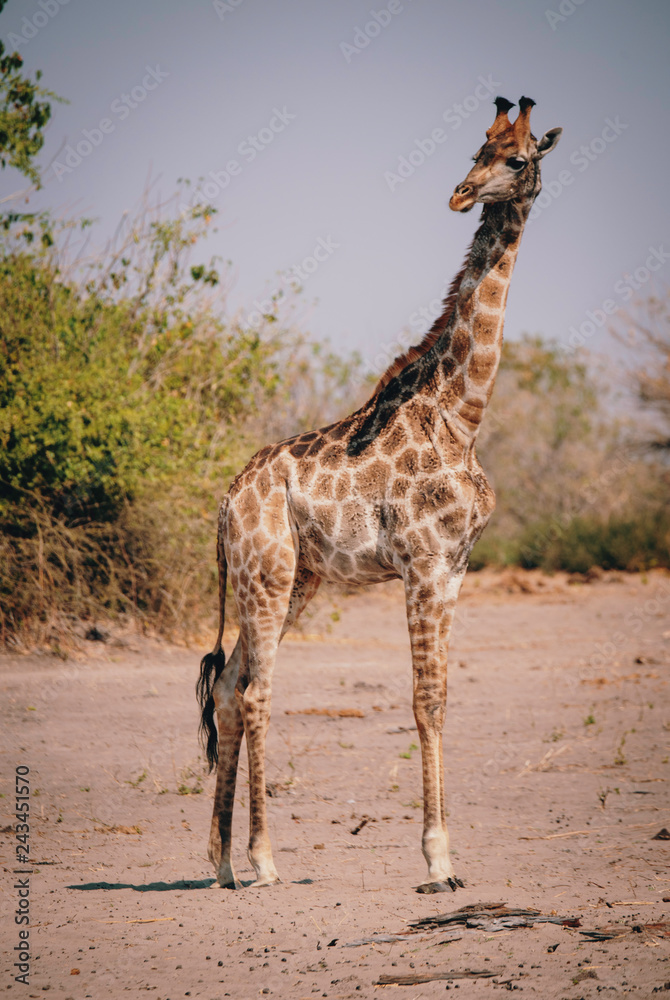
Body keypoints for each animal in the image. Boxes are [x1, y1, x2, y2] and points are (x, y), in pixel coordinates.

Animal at [197, 97, 562, 893]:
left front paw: (448, 856)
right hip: (267, 575)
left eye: (517, 158)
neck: (463, 411)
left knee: (230, 686)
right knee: (256, 690)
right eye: (478, 149)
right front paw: (438, 860)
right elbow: (423, 702)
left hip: (292, 579)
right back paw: (263, 860)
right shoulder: (422, 563)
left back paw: (221, 864)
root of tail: (226, 503)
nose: (461, 194)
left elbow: (443, 700)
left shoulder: (454, 569)